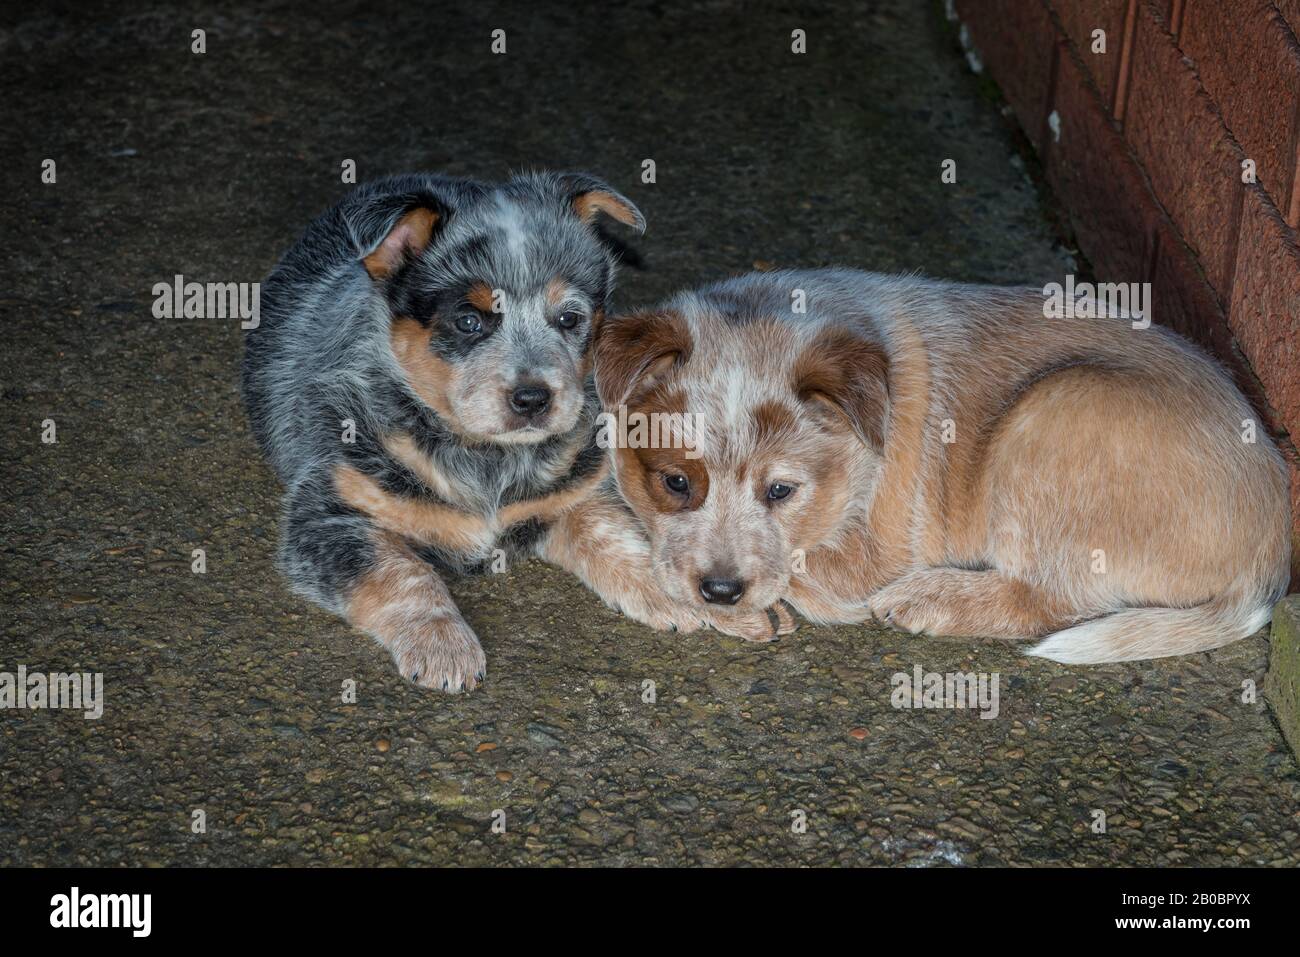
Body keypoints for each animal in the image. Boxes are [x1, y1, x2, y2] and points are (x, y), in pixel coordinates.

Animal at [244, 171, 790, 691]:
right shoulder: (330, 514)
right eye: (469, 321)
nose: (533, 398)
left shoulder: (574, 492)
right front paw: (443, 644)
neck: (487, 458)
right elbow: (404, 572)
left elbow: (619, 536)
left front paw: (700, 599)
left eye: (569, 318)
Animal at [595, 265, 1289, 660]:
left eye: (781, 492)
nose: (720, 592)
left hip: (1058, 406)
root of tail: (1271, 555)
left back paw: (931, 598)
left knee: (1051, 597)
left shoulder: (870, 553)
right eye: (675, 482)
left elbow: (800, 572)